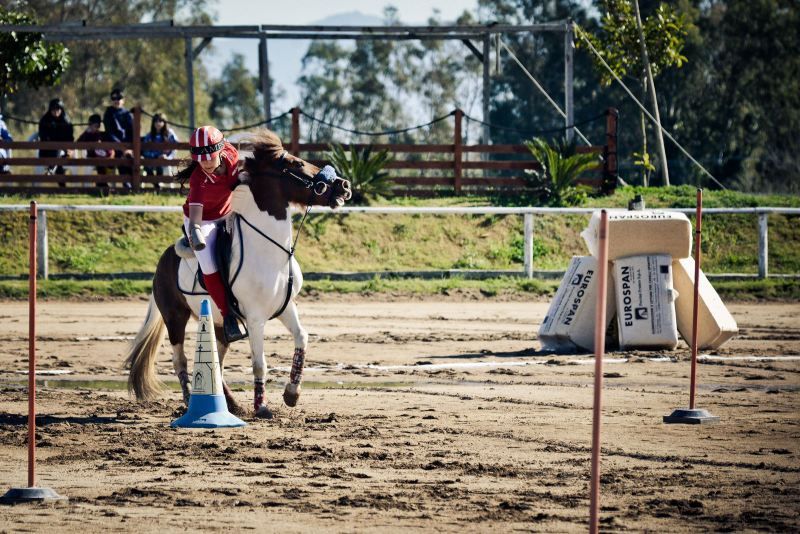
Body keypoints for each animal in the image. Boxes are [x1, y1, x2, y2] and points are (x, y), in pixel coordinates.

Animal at [124, 129, 352, 418]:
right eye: (297, 164)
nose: (344, 186)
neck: (269, 251)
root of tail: (163, 259)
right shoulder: (255, 319)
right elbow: (259, 364)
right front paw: (262, 406)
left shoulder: (286, 307)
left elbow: (302, 338)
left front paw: (292, 393)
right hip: (175, 317)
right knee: (180, 359)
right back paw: (189, 400)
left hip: (220, 323)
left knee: (217, 363)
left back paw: (230, 404)